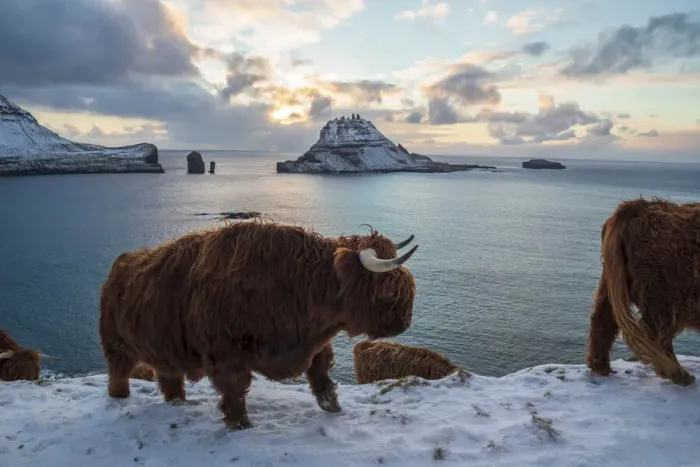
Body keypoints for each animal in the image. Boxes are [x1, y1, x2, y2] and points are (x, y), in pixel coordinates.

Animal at [99, 219, 419, 429]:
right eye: (388, 289)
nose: (405, 321)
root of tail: (120, 265)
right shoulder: (226, 355)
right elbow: (234, 390)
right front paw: (240, 424)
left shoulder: (314, 343)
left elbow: (320, 375)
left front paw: (333, 406)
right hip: (117, 344)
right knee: (119, 373)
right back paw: (120, 398)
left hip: (166, 349)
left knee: (169, 378)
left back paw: (178, 403)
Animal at [586, 197, 700, 386]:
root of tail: (633, 207)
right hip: (661, 290)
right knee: (656, 334)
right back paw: (677, 374)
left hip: (613, 277)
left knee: (602, 317)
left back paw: (600, 366)